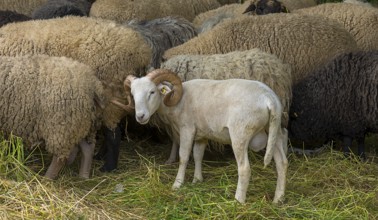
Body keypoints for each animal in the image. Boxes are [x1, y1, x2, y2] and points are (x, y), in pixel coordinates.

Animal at [113, 69, 288, 205]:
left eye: (152, 92)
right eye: (133, 95)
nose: (140, 116)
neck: (177, 101)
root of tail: (269, 99)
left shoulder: (187, 130)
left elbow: (184, 157)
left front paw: (177, 184)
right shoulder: (201, 135)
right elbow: (198, 155)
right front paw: (197, 180)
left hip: (240, 133)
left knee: (244, 168)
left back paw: (238, 200)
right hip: (274, 131)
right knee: (282, 163)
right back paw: (278, 199)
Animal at [159, 49, 292, 165]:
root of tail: (278, 65)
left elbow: (176, 139)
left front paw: (171, 158)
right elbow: (175, 139)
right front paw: (170, 159)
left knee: (283, 134)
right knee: (282, 133)